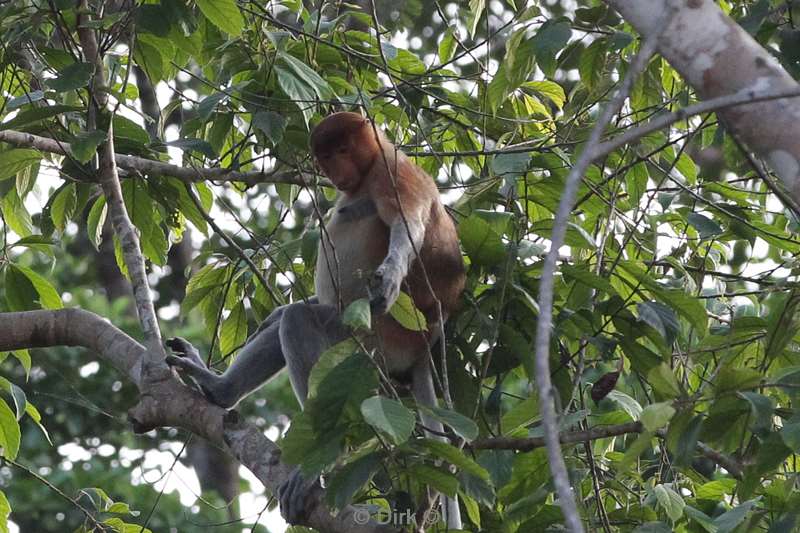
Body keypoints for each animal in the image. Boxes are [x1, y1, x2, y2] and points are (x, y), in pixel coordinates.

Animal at [170, 110, 468, 524]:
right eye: (325, 157)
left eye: (343, 149)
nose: (336, 171)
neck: (370, 165)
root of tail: (425, 345)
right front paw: (273, 313)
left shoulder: (395, 175)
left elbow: (406, 225)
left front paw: (391, 276)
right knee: (287, 322)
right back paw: (219, 389)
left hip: (376, 337)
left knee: (300, 321)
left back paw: (317, 464)